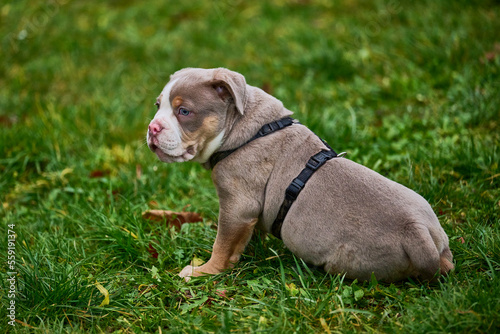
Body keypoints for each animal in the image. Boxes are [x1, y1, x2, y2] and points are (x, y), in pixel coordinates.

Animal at [146, 66, 456, 280]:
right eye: (157, 105)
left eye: (185, 111)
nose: (152, 128)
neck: (245, 128)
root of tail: (417, 232)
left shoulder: (237, 204)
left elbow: (222, 244)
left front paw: (204, 271)